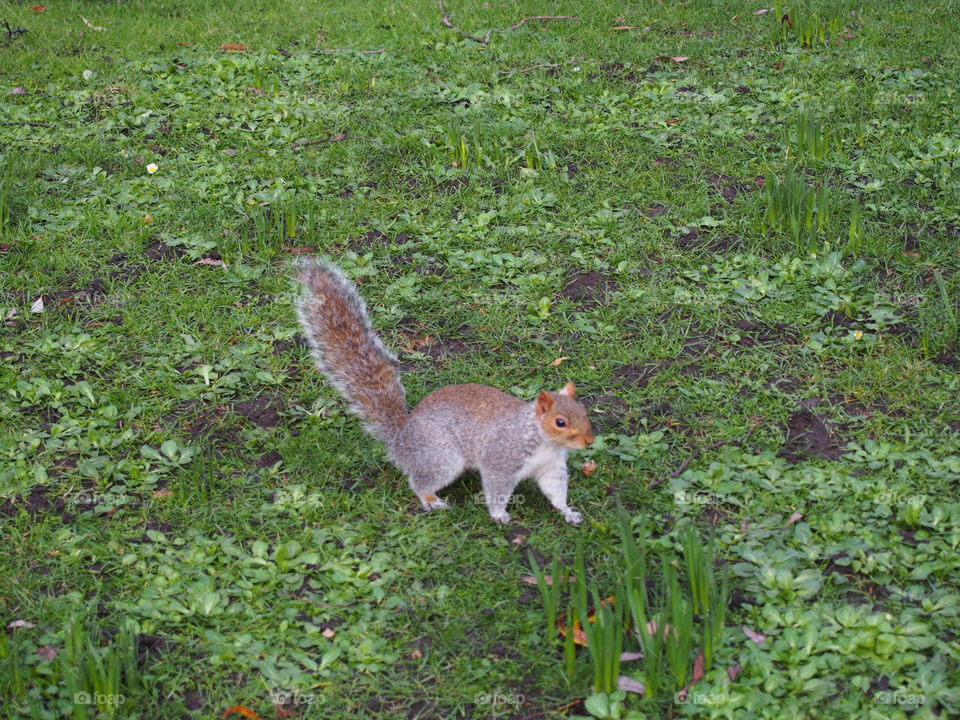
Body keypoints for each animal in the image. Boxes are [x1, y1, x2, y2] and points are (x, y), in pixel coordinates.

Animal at [293, 258, 594, 524]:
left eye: (584, 412)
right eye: (560, 422)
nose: (589, 441)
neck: (543, 440)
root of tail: (401, 438)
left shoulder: (551, 467)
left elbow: (555, 491)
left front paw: (568, 512)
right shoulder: (502, 457)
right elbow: (497, 488)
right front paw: (500, 515)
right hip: (442, 457)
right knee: (419, 481)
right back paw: (430, 500)